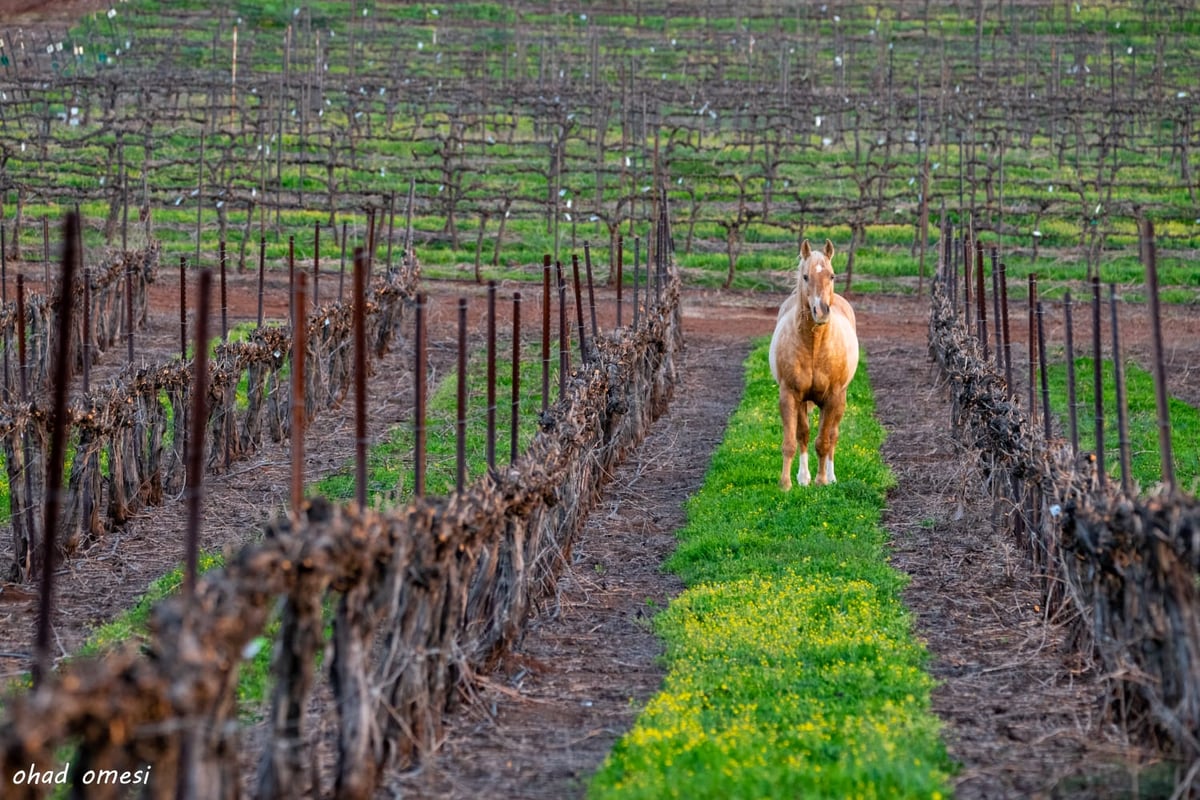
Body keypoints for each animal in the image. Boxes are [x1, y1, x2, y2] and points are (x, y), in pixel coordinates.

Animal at [772, 239, 859, 489]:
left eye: (832, 275)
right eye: (805, 276)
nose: (821, 312)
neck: (815, 345)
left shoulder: (832, 399)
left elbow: (824, 442)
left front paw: (822, 481)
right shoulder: (790, 396)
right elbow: (792, 441)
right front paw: (787, 484)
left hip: (840, 400)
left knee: (833, 435)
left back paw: (831, 476)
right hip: (803, 402)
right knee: (804, 434)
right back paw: (803, 477)